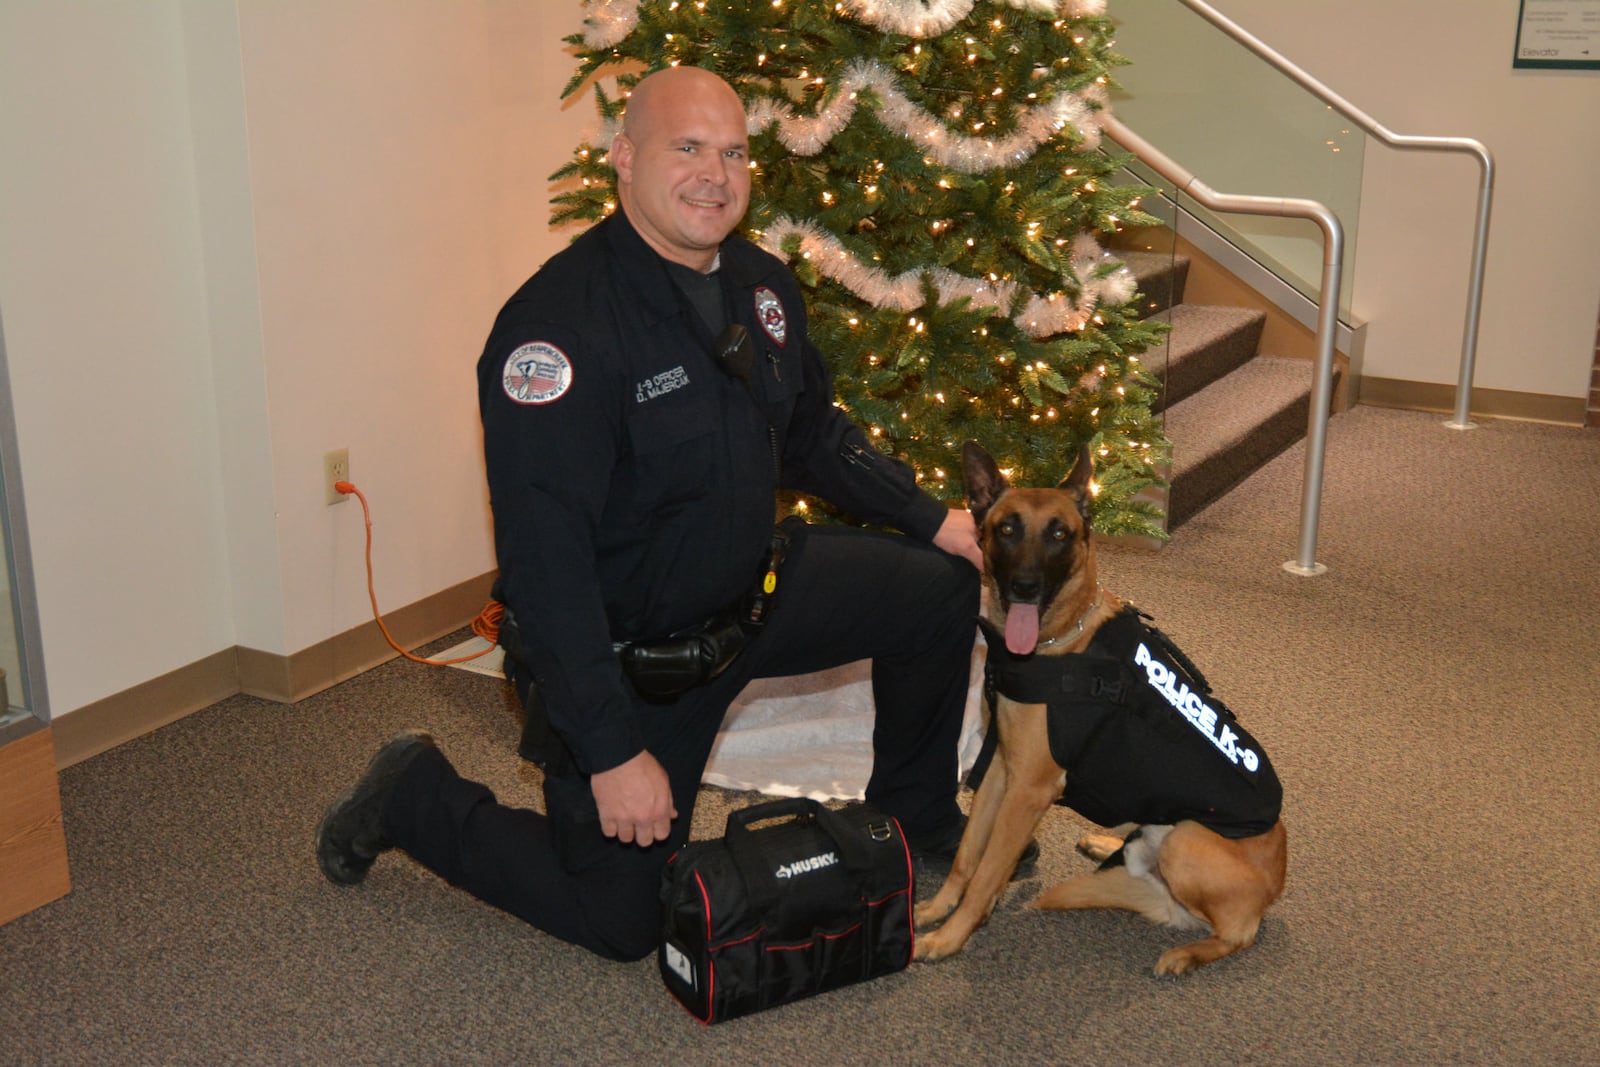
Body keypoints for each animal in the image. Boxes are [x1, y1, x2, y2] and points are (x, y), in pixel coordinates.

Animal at [915, 441, 1286, 979]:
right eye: (1006, 529)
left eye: (1059, 534)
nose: (1025, 586)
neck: (1058, 643)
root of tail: (1275, 884)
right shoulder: (1001, 769)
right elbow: (968, 857)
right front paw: (938, 911)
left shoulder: (1028, 791)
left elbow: (987, 874)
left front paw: (952, 937)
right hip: (1157, 833)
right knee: (1137, 854)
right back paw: (1109, 845)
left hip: (1188, 839)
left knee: (1238, 935)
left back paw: (1188, 952)